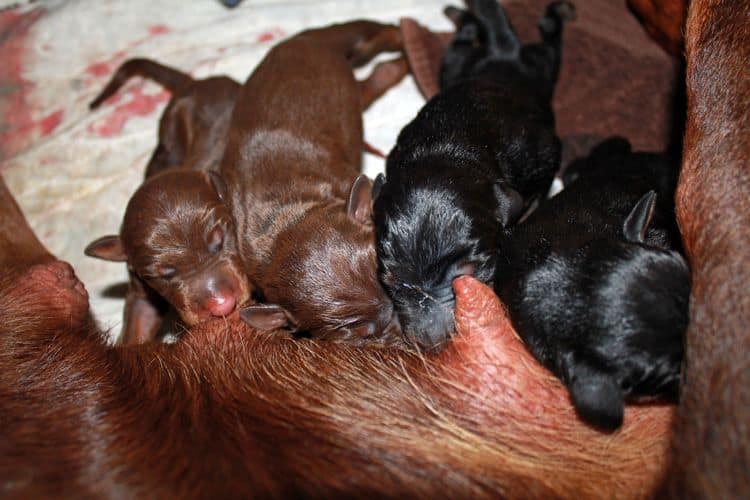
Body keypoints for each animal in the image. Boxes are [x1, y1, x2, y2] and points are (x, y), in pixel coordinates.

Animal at [85, 57, 250, 344]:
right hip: (170, 128)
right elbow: (137, 325)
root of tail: (193, 82)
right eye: (166, 274)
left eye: (219, 241)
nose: (222, 305)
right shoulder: (141, 288)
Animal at [223, 21, 408, 346]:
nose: (397, 315)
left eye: (384, 273)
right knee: (374, 76)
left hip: (340, 39)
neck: (289, 218)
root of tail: (298, 41)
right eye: (360, 333)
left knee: (373, 38)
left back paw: (403, 37)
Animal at [372, 0, 576, 352]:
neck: (450, 149)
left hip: (541, 64)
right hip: (455, 66)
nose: (430, 344)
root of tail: (504, 55)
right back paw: (463, 18)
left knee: (551, 41)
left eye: (468, 274)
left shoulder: (543, 166)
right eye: (390, 279)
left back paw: (557, 14)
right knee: (463, 43)